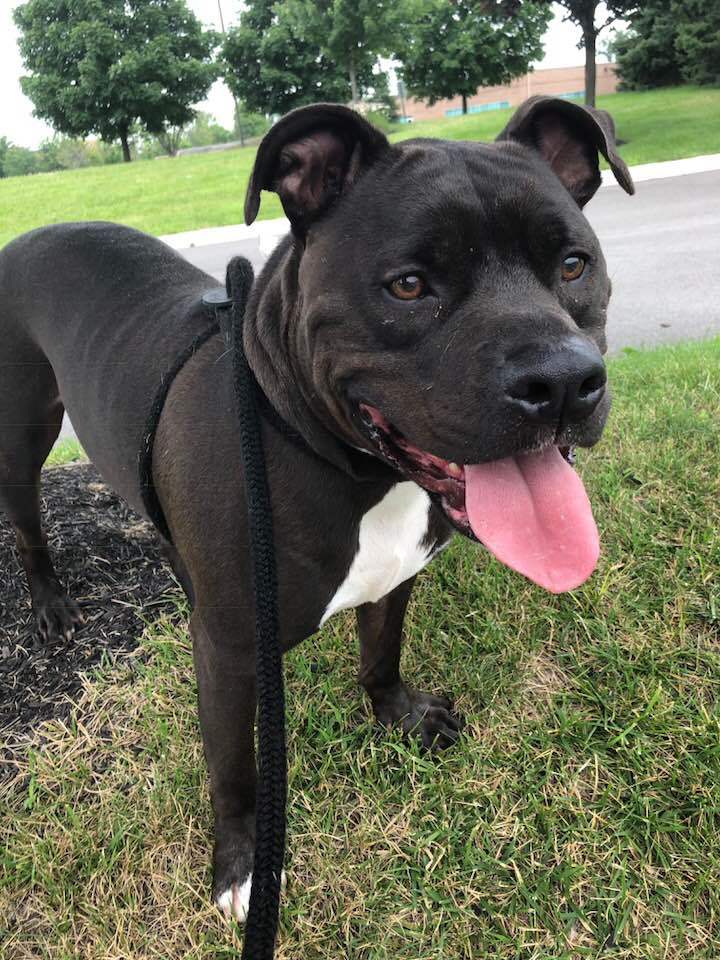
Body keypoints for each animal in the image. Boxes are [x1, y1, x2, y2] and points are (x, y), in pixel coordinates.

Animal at [0, 99, 632, 924]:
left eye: (573, 265)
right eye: (408, 285)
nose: (561, 383)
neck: (345, 464)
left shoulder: (395, 575)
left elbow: (381, 650)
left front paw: (400, 715)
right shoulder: (231, 653)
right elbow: (235, 768)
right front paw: (243, 867)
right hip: (21, 436)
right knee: (27, 524)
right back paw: (50, 606)